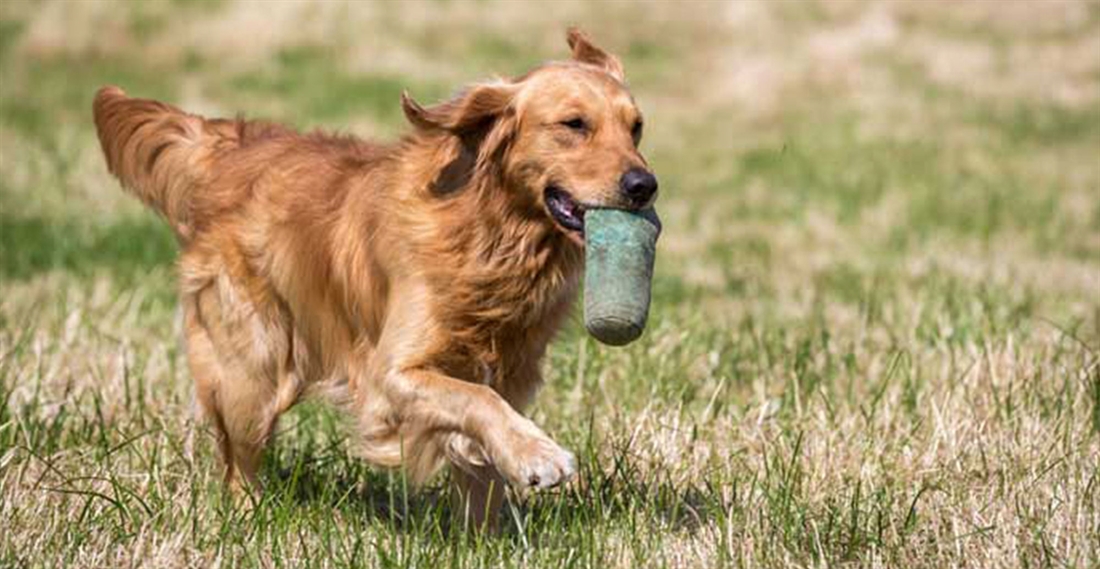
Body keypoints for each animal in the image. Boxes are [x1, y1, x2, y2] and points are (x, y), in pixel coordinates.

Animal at [92, 27, 651, 528]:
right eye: (574, 124)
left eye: (636, 127)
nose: (644, 184)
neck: (486, 232)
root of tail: (228, 147)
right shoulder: (392, 374)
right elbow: (476, 400)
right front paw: (539, 455)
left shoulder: (511, 369)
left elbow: (482, 454)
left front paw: (485, 533)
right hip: (252, 370)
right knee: (238, 464)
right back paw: (248, 521)